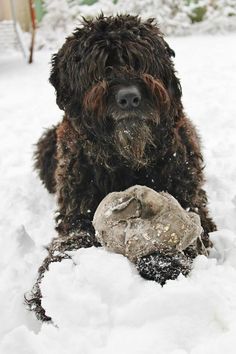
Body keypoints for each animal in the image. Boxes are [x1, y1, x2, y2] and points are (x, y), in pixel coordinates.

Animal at [26, 15, 217, 322]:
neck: (126, 160)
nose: (129, 97)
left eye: (139, 61)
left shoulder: (191, 201)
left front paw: (163, 262)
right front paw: (50, 286)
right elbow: (71, 240)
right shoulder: (77, 212)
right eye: (98, 67)